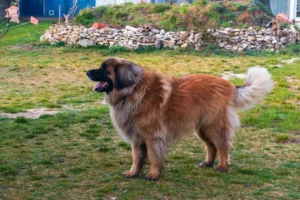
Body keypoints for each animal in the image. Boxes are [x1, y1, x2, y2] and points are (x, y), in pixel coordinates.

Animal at [85, 57, 274, 180]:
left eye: (105, 70)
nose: (87, 72)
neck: (132, 91)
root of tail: (230, 85)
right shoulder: (136, 137)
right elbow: (137, 157)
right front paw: (133, 172)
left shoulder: (152, 136)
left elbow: (153, 157)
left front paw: (153, 174)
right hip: (202, 129)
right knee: (211, 147)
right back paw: (207, 163)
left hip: (214, 126)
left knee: (222, 146)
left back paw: (222, 167)